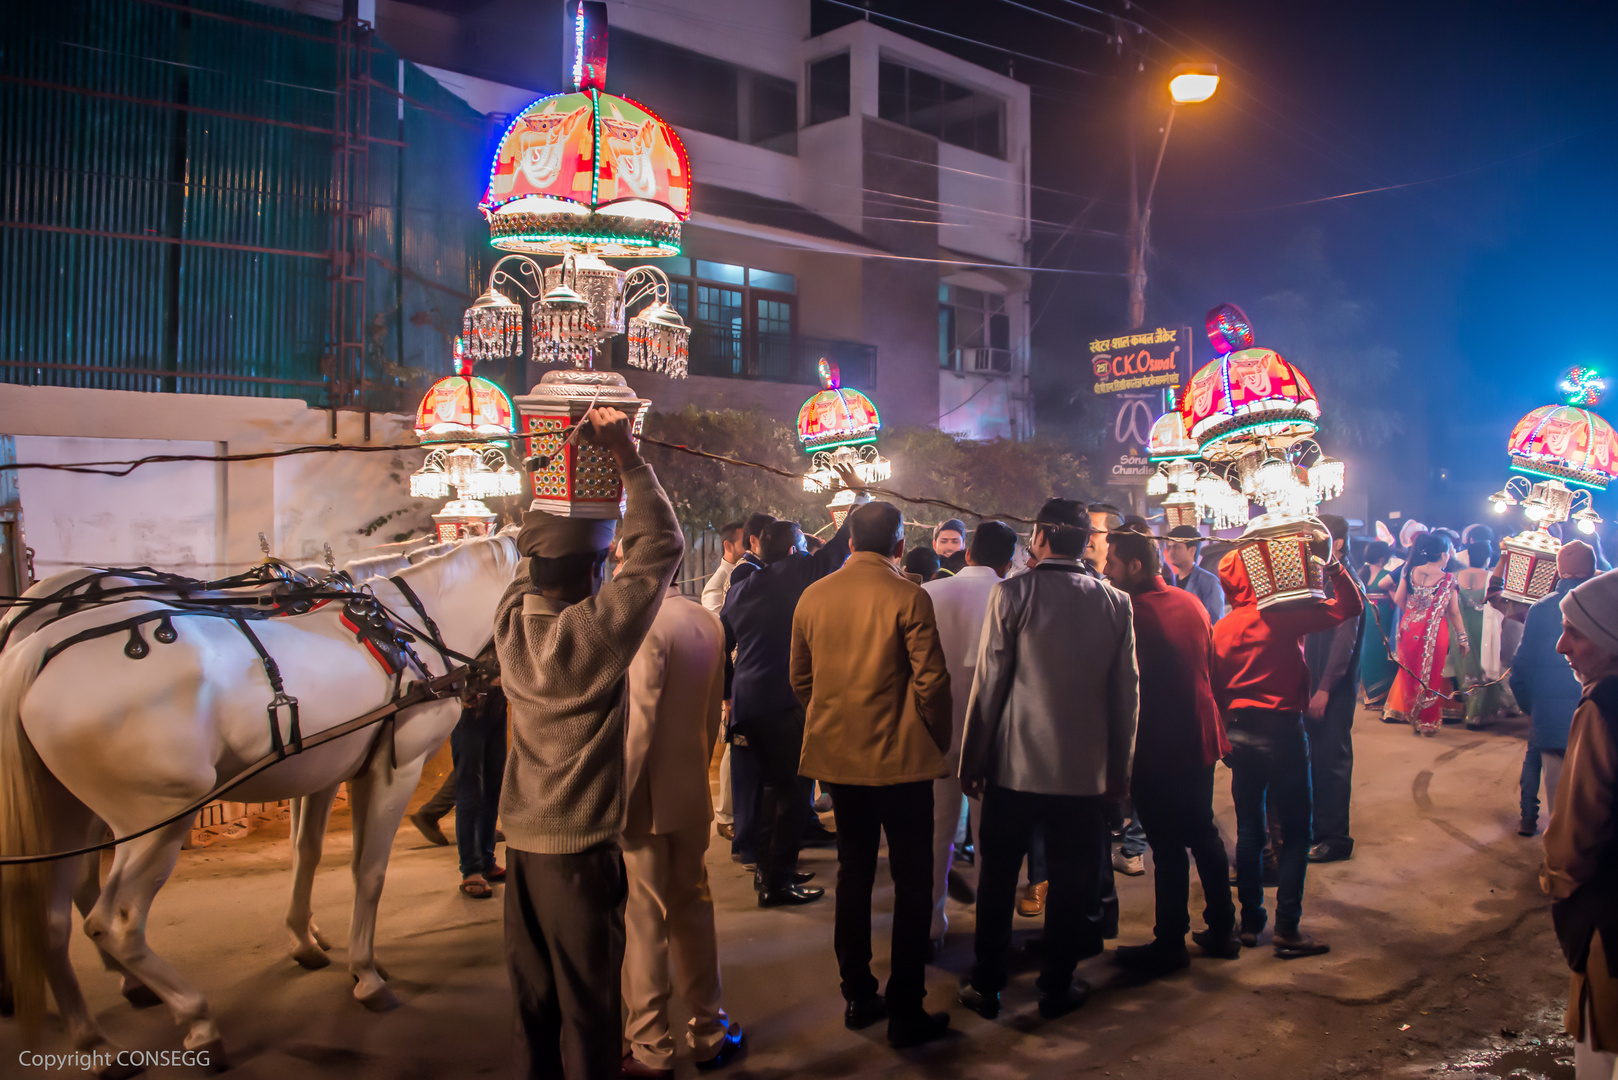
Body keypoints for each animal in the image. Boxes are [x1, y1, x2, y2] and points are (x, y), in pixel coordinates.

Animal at [0, 531, 520, 1062]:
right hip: (156, 820)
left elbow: (305, 852)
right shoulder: (395, 768)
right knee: (115, 920)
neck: (413, 629)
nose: (487, 688)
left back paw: (94, 1038)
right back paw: (193, 1016)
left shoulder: (324, 770)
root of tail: (37, 652)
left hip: (64, 813)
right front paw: (366, 973)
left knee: (50, 918)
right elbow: (369, 873)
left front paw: (307, 940)